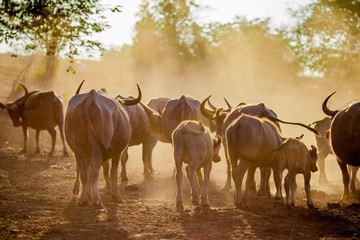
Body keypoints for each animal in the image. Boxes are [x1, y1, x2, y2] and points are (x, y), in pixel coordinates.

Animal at [65, 81, 141, 210]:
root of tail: (90, 99)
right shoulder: (117, 152)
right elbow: (113, 172)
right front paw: (116, 196)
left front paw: (89, 194)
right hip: (97, 148)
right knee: (94, 170)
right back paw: (97, 202)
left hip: (78, 147)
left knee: (84, 170)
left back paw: (84, 200)